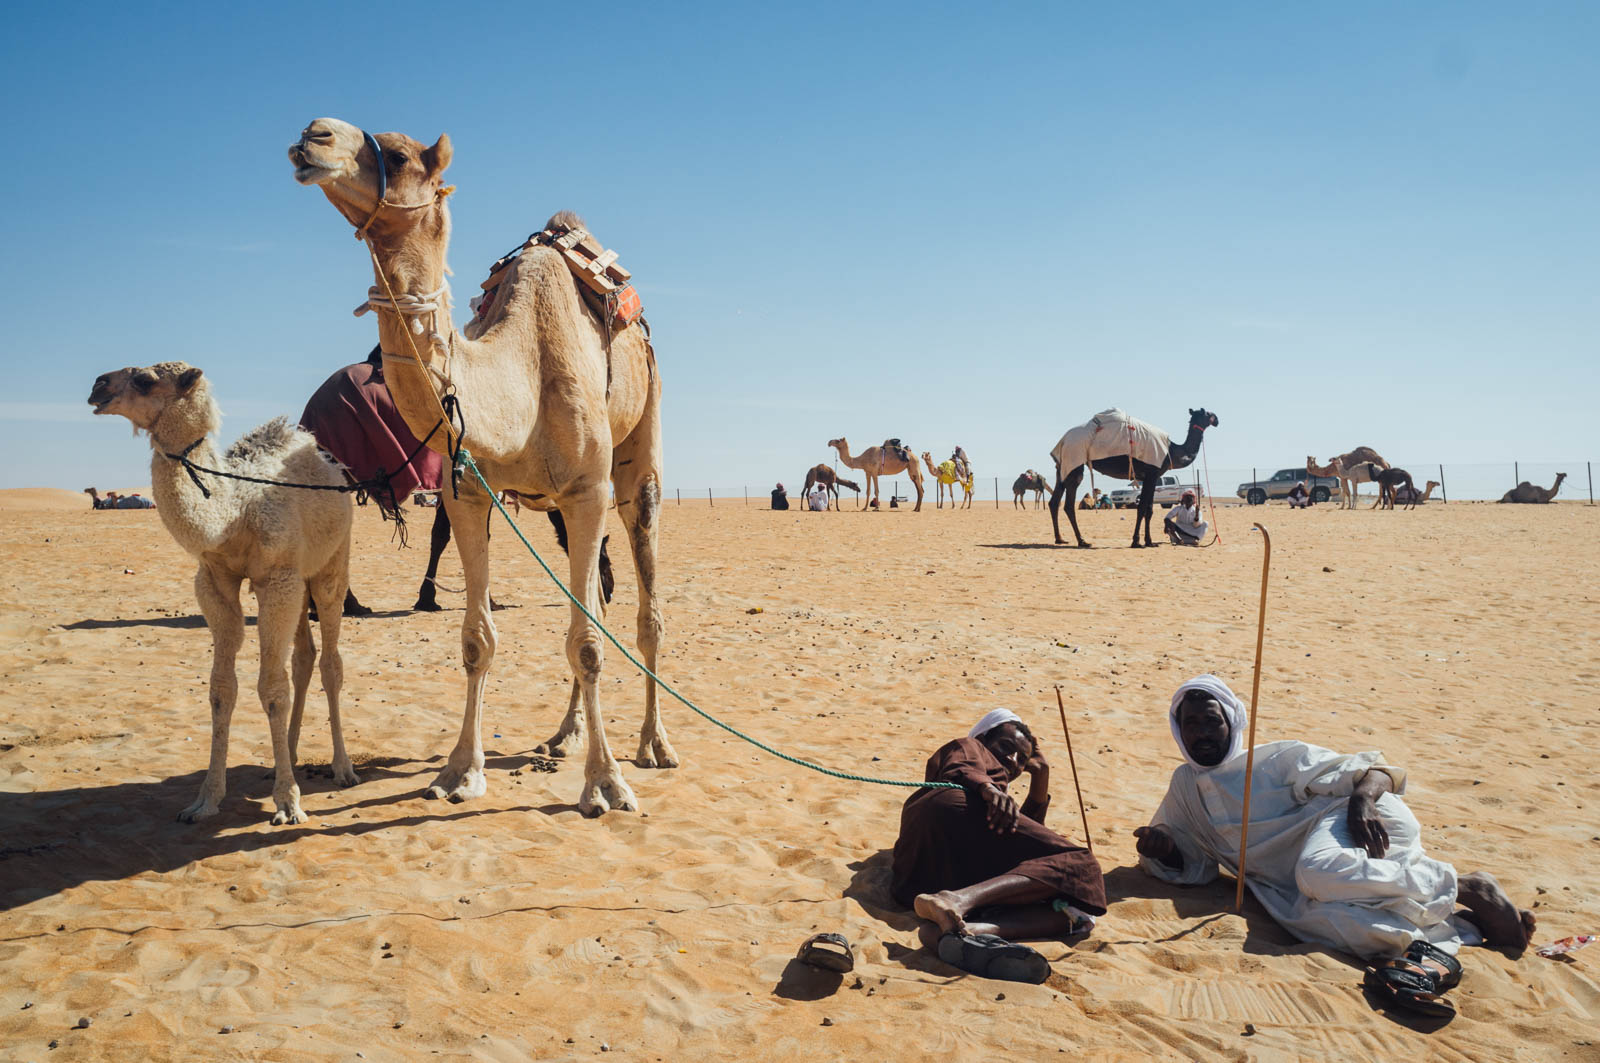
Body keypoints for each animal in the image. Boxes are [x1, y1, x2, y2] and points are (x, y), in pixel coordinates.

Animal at [87, 363, 357, 824]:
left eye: (145, 379)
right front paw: (204, 801)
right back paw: (287, 754)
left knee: (331, 662)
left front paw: (288, 803)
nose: (96, 387)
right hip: (300, 578)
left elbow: (272, 688)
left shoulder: (277, 579)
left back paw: (342, 768)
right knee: (304, 657)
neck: (234, 512)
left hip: (330, 565)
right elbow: (221, 689)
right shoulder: (214, 581)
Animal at [290, 117, 671, 815]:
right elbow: (478, 639)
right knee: (594, 605)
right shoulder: (466, 490)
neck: (518, 377)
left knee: (642, 608)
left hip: (641, 447)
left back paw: (653, 745)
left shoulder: (587, 489)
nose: (313, 134)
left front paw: (605, 785)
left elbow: (588, 643)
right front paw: (459, 772)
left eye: (399, 155)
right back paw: (564, 734)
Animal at [1049, 408, 1219, 548]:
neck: (1171, 451)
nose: (1217, 419)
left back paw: (1060, 539)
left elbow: (1147, 508)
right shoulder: (1152, 473)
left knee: (1054, 502)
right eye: (1207, 413)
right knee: (1068, 504)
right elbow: (1143, 508)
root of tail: (1063, 440)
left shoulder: (1148, 477)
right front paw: (1139, 542)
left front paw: (1147, 541)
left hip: (1062, 466)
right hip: (1074, 461)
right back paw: (1082, 541)